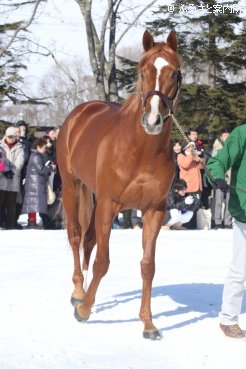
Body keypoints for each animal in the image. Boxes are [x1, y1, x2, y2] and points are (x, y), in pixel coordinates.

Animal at [56, 30, 182, 338]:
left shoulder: (154, 211)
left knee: (88, 240)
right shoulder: (109, 205)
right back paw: (79, 292)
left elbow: (148, 266)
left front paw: (148, 323)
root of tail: (80, 112)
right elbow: (103, 261)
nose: (153, 120)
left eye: (175, 73)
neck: (141, 152)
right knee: (76, 237)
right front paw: (84, 310)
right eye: (141, 72)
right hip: (72, 187)